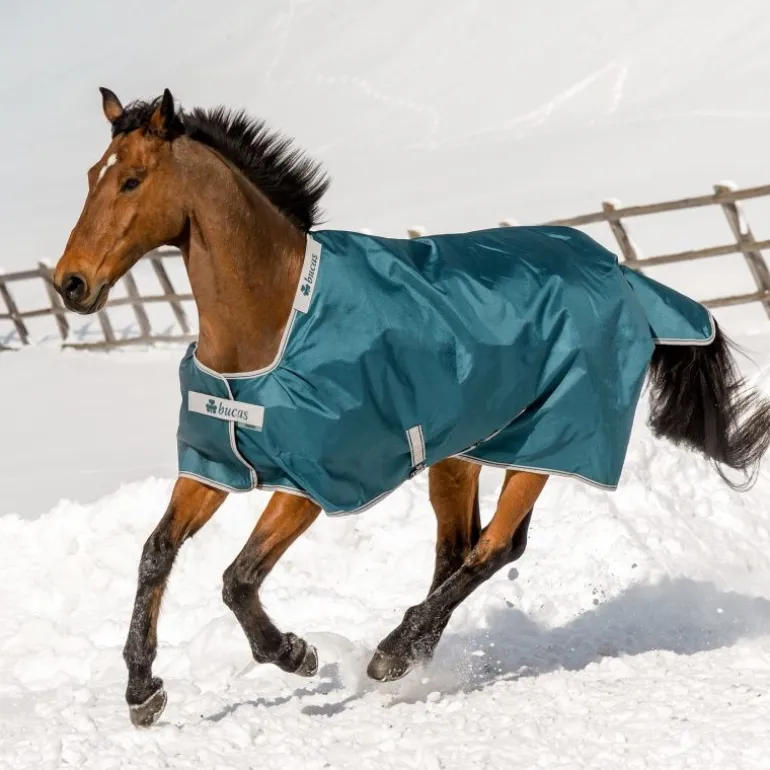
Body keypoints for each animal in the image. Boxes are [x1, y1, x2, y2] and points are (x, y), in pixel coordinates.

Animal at [52, 87, 770, 728]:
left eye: (132, 181)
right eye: (91, 177)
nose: (71, 284)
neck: (273, 321)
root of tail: (624, 272)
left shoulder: (315, 481)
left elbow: (238, 577)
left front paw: (293, 652)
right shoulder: (215, 464)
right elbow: (156, 552)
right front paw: (142, 690)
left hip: (550, 440)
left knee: (494, 547)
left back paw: (394, 654)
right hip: (460, 452)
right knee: (462, 548)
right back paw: (416, 650)